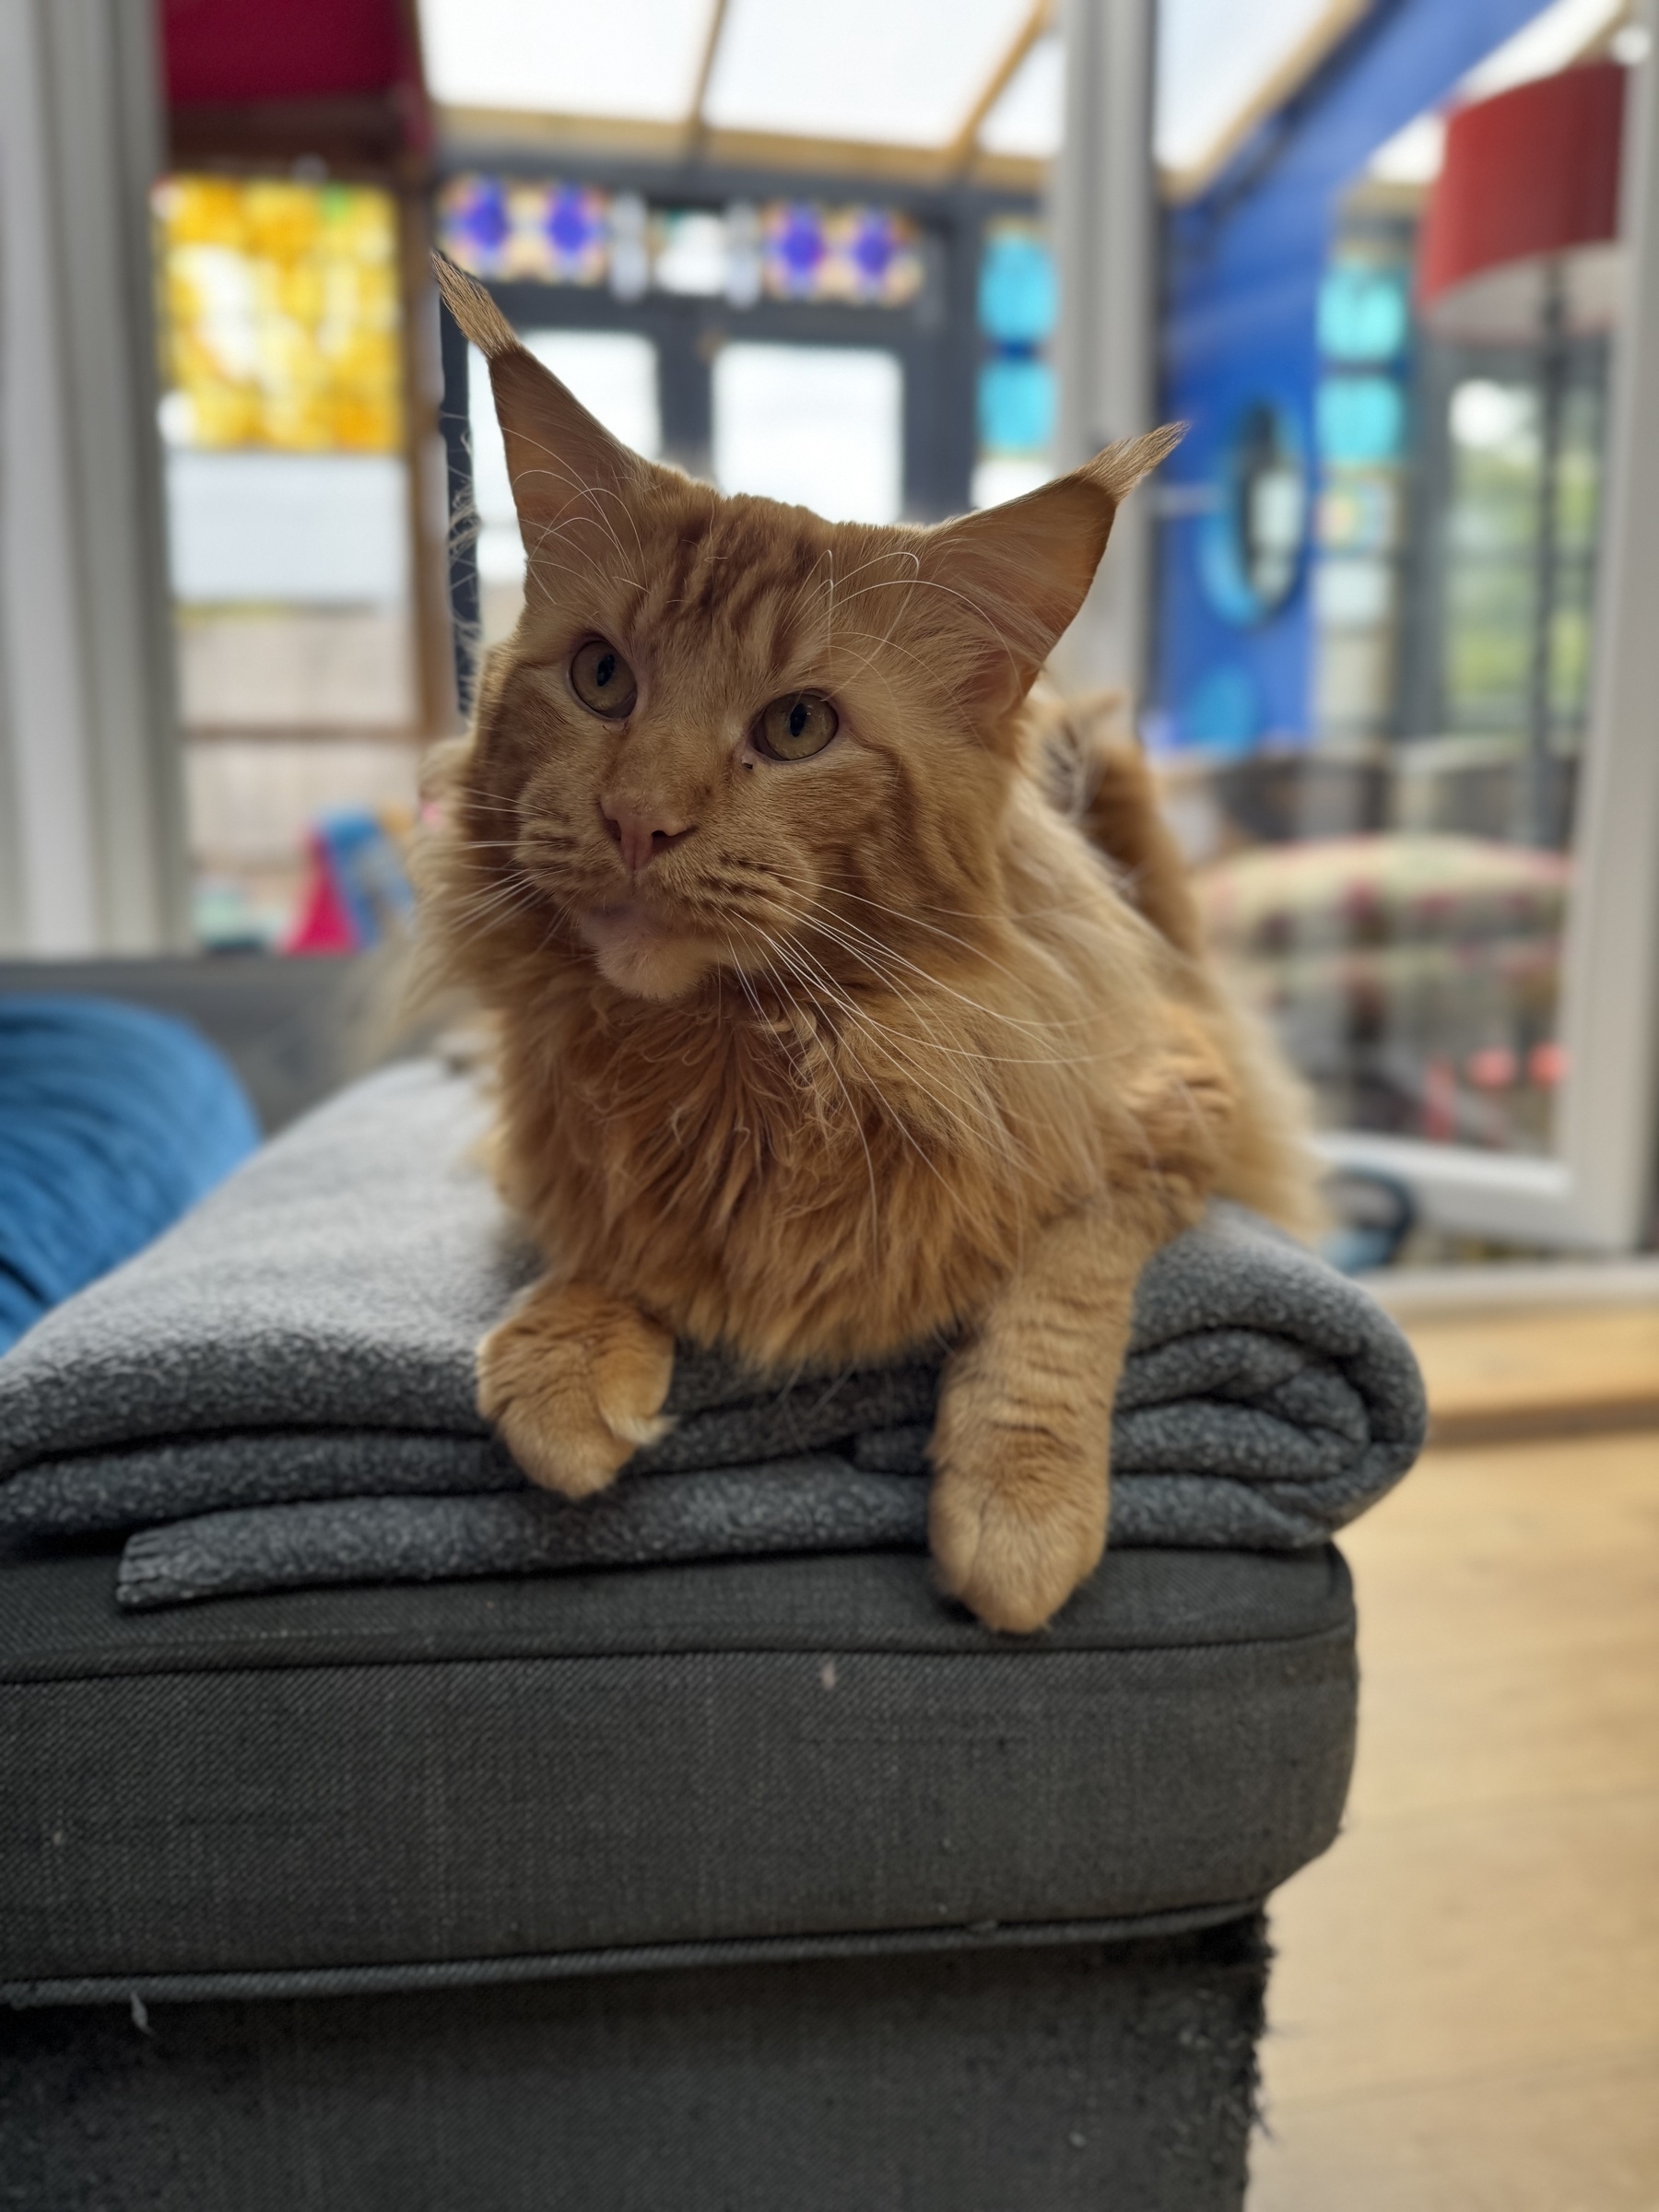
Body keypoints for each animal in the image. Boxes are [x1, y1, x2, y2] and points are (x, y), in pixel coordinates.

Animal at [424, 263, 1327, 1645]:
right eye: (601, 679)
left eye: (799, 728)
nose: (638, 820)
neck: (767, 1058)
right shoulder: (560, 1127)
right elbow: (600, 1214)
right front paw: (571, 1348)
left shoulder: (1165, 1109)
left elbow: (1054, 1290)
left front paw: (1017, 1509)